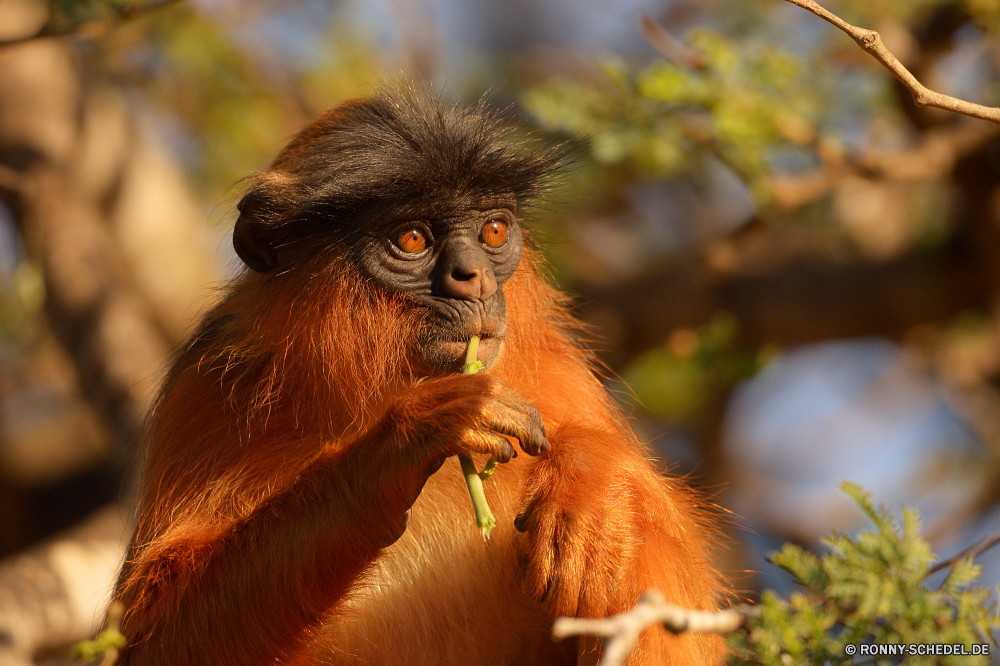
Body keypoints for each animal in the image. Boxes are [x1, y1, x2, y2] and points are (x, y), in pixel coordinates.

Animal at [111, 88, 728, 664]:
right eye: (412, 239)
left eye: (494, 231)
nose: (473, 278)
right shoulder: (208, 385)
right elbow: (158, 643)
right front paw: (412, 436)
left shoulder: (555, 369)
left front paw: (590, 477)